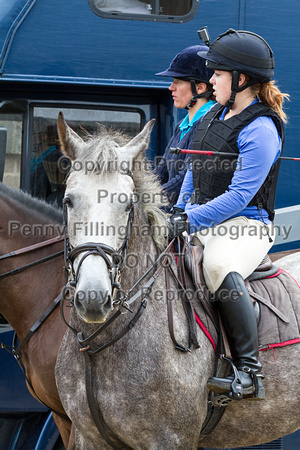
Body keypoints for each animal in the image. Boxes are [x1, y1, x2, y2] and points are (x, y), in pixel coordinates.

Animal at [55, 115, 300, 450]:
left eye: (127, 205)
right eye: (69, 201)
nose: (93, 298)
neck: (100, 345)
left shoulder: (171, 439)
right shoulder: (85, 436)